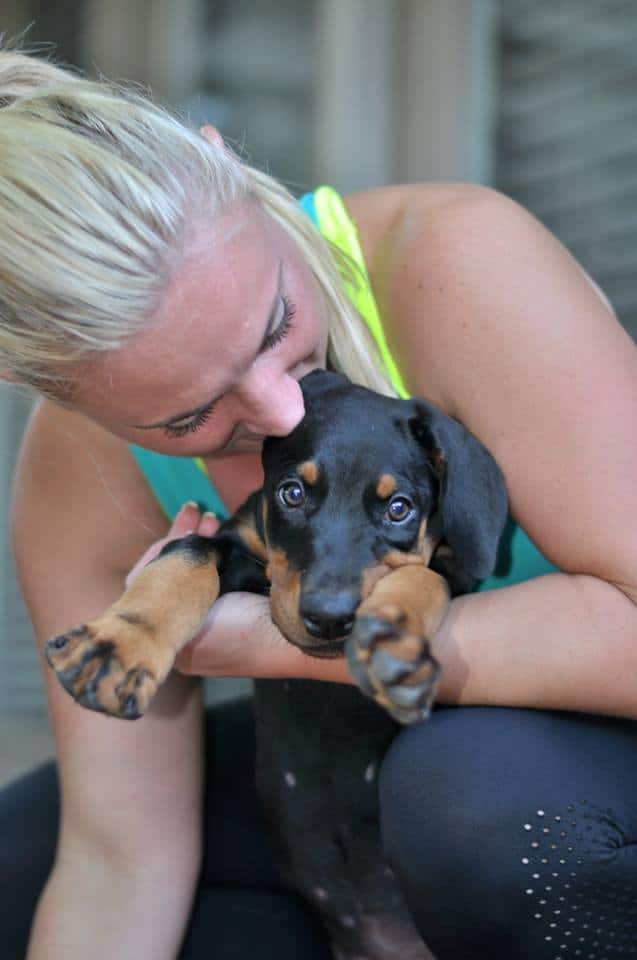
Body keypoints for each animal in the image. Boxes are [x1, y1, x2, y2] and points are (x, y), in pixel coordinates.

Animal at [46, 370, 506, 960]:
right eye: (292, 493)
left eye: (399, 507)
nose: (329, 619)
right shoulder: (234, 546)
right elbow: (187, 555)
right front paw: (120, 644)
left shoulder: (454, 570)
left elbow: (424, 574)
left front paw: (393, 640)